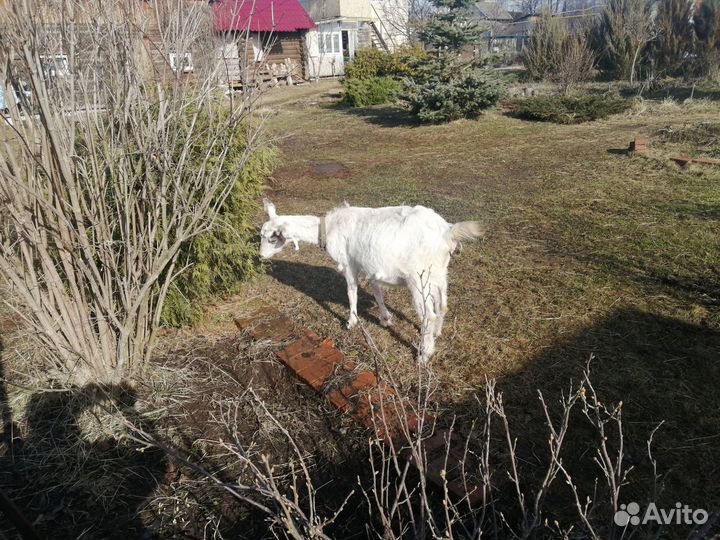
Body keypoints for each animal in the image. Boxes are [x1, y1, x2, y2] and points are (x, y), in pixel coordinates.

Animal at [259, 199, 485, 362]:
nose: (261, 256)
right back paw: (436, 334)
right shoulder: (371, 267)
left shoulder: (349, 264)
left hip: (418, 277)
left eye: (272, 238)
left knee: (428, 315)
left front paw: (351, 322)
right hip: (438, 273)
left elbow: (351, 292)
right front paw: (386, 319)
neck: (328, 227)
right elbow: (377, 292)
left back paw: (424, 354)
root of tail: (447, 232)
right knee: (442, 305)